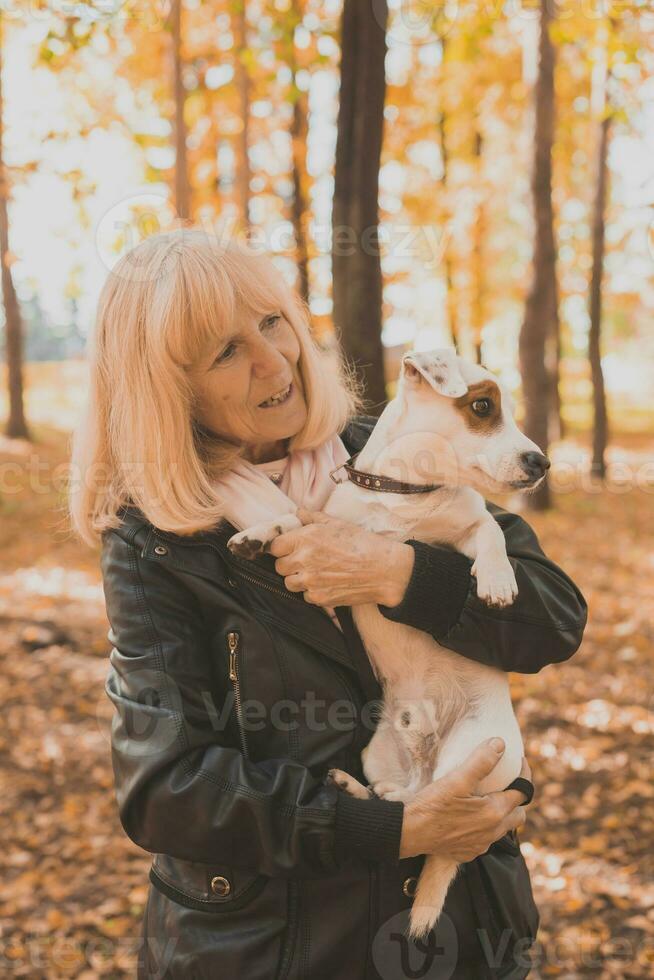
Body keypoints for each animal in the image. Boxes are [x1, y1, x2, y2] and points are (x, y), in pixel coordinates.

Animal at [228, 348, 552, 936]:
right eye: (483, 406)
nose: (542, 463)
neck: (406, 498)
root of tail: (425, 753)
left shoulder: (468, 524)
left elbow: (491, 531)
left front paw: (497, 579)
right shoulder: (325, 524)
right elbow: (291, 519)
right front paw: (259, 533)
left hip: (474, 749)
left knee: (434, 810)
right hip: (378, 751)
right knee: (406, 809)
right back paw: (359, 791)